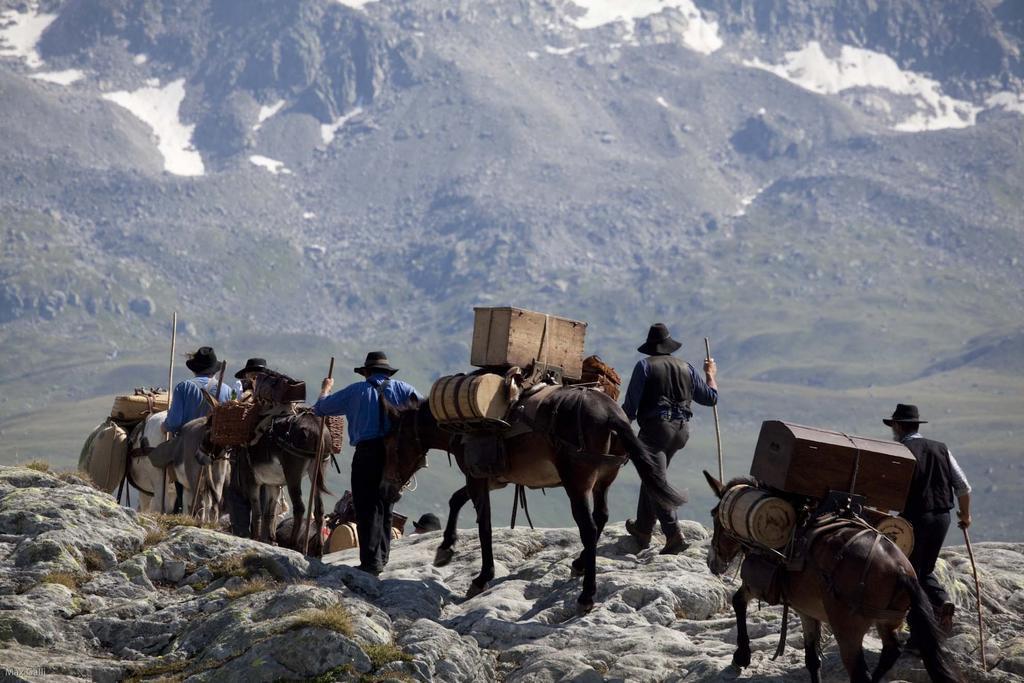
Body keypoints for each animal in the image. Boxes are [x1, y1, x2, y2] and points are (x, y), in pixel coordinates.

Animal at [380, 385, 684, 614]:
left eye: (393, 444)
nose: (389, 488)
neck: (458, 426)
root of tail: (610, 413)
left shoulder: (477, 477)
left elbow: (484, 525)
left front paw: (481, 577)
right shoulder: (491, 480)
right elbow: (456, 500)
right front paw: (445, 549)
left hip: (577, 483)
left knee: (588, 527)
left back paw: (586, 596)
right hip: (604, 480)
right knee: (601, 518)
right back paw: (579, 565)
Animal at [704, 473, 958, 683]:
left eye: (716, 516)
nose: (712, 562)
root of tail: (901, 570)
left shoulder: (757, 582)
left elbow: (738, 601)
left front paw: (741, 656)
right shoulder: (806, 610)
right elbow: (812, 659)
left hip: (848, 631)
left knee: (861, 674)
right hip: (888, 621)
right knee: (891, 652)